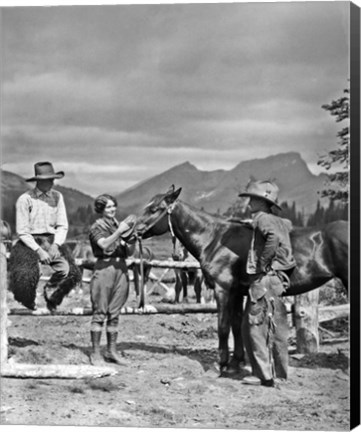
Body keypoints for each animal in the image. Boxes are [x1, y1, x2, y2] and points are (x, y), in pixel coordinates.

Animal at [135, 186, 346, 374]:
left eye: (154, 209)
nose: (133, 230)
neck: (214, 239)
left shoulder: (222, 289)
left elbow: (223, 326)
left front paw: (220, 365)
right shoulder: (237, 292)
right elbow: (236, 326)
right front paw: (235, 363)